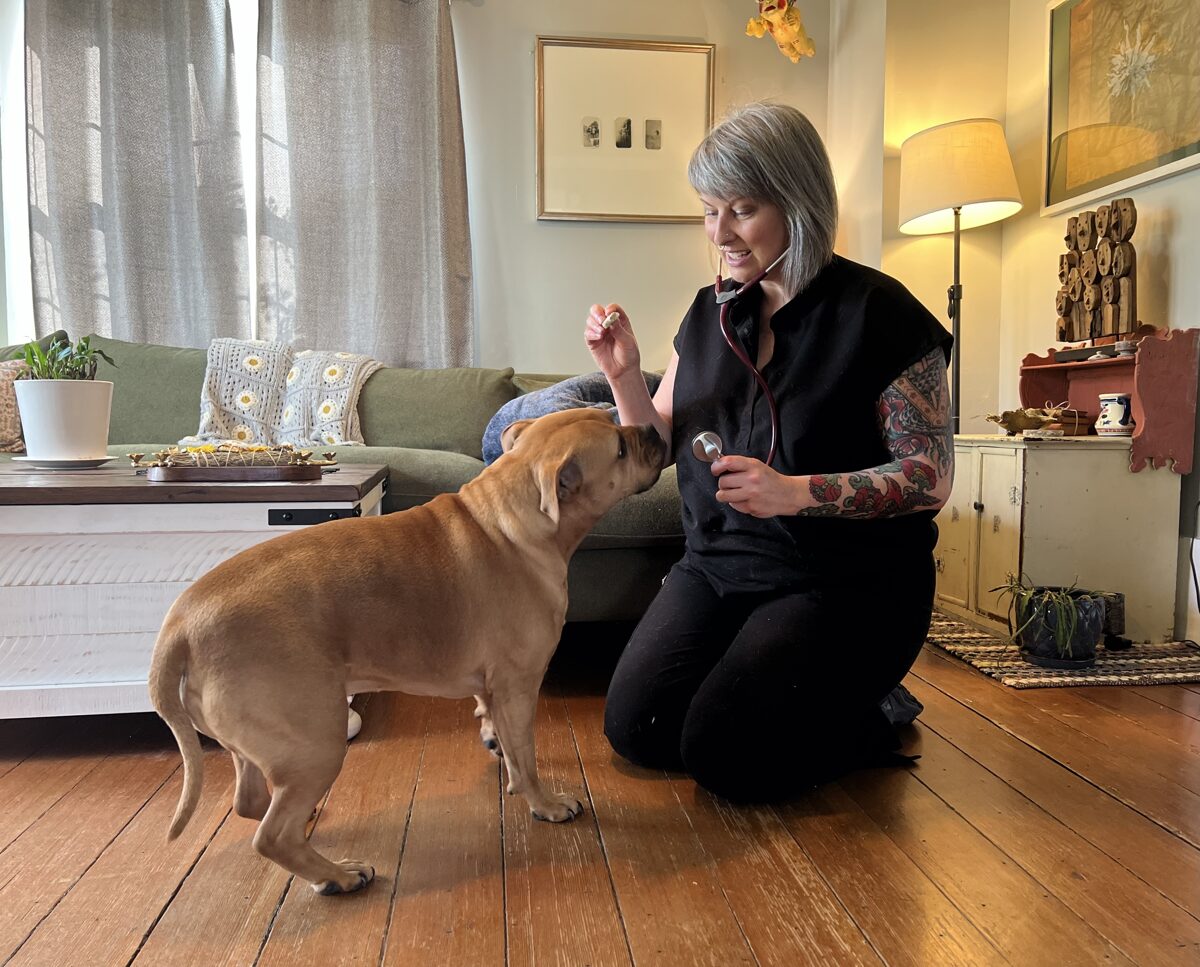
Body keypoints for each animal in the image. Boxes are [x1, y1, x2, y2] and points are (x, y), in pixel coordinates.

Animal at [147, 407, 667, 892]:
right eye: (620, 449)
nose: (652, 428)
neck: (511, 519)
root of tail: (182, 625)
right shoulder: (519, 686)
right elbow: (526, 758)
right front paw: (545, 803)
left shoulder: (495, 686)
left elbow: (495, 722)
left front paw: (492, 737)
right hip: (315, 742)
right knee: (273, 835)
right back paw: (337, 875)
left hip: (261, 743)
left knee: (253, 803)